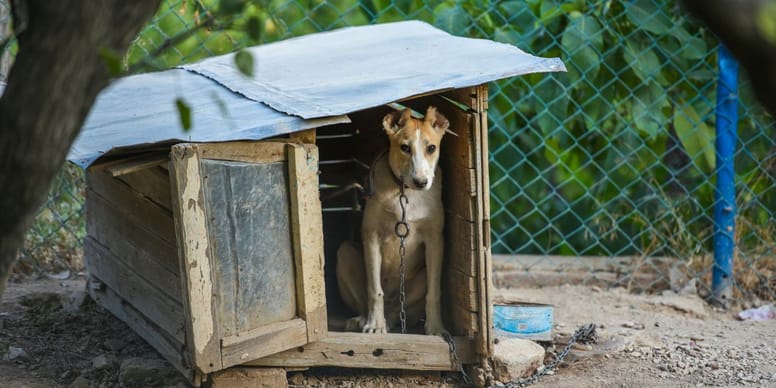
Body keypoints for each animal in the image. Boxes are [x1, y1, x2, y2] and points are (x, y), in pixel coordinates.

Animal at [334, 106, 448, 336]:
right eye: (404, 147)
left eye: (431, 148)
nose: (421, 182)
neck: (405, 193)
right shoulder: (371, 236)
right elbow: (374, 290)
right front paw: (374, 325)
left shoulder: (435, 240)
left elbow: (434, 292)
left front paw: (436, 328)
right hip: (345, 253)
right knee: (369, 302)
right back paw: (365, 320)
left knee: (397, 313)